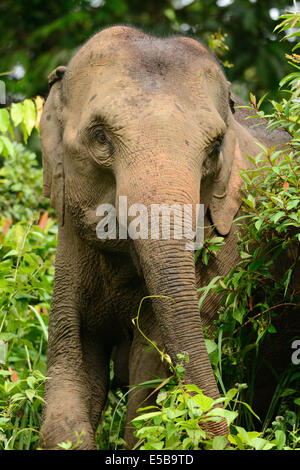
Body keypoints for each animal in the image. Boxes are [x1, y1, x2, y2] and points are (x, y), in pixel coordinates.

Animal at [37, 24, 292, 448]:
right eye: (100, 137)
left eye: (214, 148)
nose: (227, 430)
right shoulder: (71, 243)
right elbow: (73, 362)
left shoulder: (228, 249)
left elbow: (151, 369)